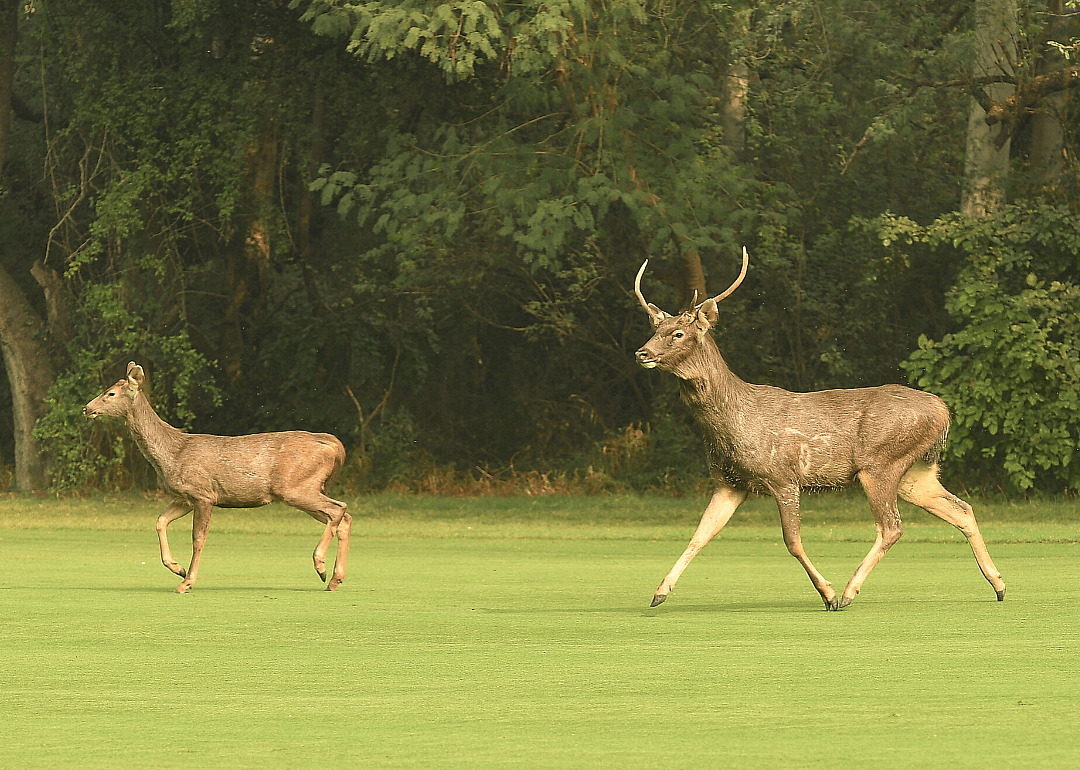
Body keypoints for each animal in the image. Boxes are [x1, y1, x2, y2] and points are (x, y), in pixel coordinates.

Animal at [83, 362, 351, 593]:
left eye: (110, 393)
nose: (86, 408)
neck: (172, 453)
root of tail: (333, 444)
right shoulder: (185, 497)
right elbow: (160, 521)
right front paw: (177, 568)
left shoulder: (204, 494)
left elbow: (198, 539)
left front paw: (186, 582)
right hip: (306, 489)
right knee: (343, 517)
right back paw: (335, 579)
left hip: (296, 487)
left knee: (338, 509)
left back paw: (320, 565)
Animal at [634, 248, 1006, 610]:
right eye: (655, 329)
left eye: (678, 333)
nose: (642, 352)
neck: (731, 424)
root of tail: (943, 411)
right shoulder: (729, 483)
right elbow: (700, 535)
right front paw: (659, 592)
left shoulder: (783, 475)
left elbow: (792, 541)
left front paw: (827, 593)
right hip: (916, 472)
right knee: (962, 509)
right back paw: (999, 585)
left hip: (881, 463)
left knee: (892, 527)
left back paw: (848, 592)